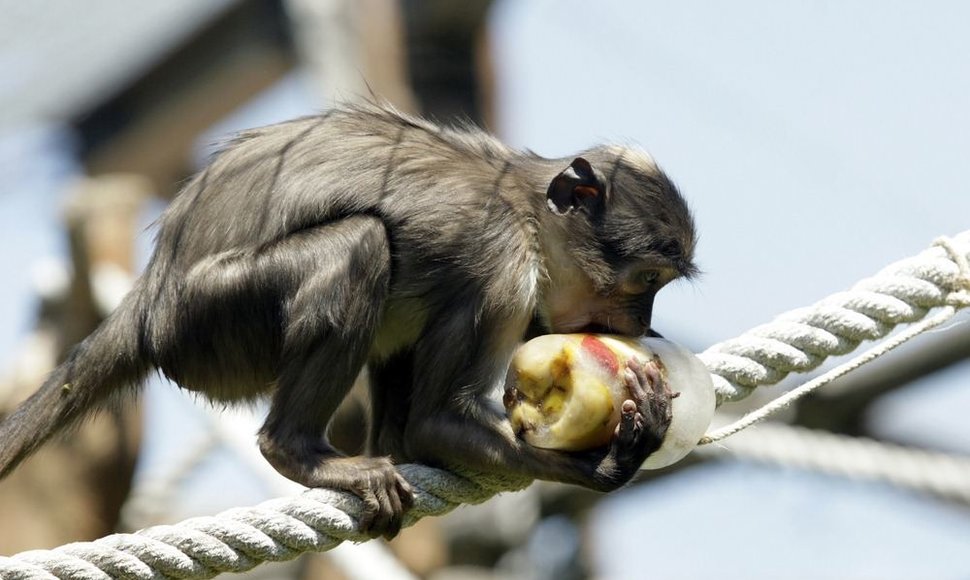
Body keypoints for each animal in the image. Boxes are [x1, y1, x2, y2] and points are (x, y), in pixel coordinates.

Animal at [0, 101, 696, 540]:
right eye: (645, 284)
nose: (642, 322)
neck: (524, 205)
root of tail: (152, 295)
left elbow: (413, 440)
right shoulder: (500, 265)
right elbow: (435, 423)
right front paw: (612, 462)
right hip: (209, 321)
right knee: (359, 244)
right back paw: (294, 450)